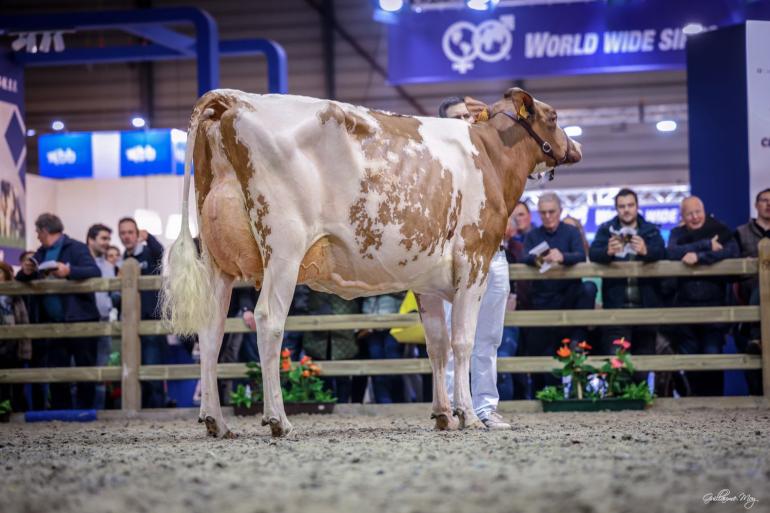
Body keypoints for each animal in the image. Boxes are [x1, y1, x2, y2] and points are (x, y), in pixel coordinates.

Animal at [164, 87, 584, 436]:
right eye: (553, 116)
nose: (576, 147)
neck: (490, 155)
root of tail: (234, 99)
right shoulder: (474, 260)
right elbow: (463, 341)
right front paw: (468, 415)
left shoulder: (426, 279)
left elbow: (437, 345)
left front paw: (444, 415)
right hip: (283, 249)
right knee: (269, 320)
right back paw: (278, 420)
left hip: (218, 261)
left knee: (211, 329)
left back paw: (216, 422)